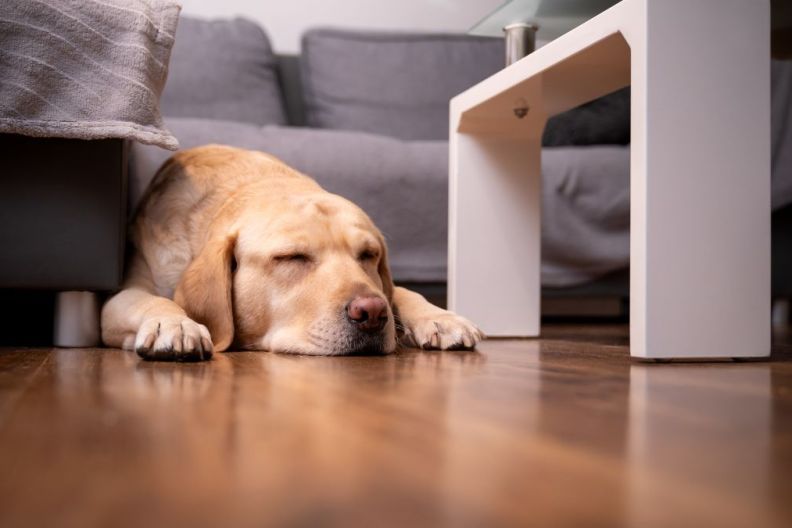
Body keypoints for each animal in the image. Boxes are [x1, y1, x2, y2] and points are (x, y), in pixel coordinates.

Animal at [101, 143, 480, 358]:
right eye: (291, 258)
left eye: (368, 255)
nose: (372, 312)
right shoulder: (119, 298)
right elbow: (154, 300)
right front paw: (177, 323)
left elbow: (399, 291)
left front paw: (440, 317)